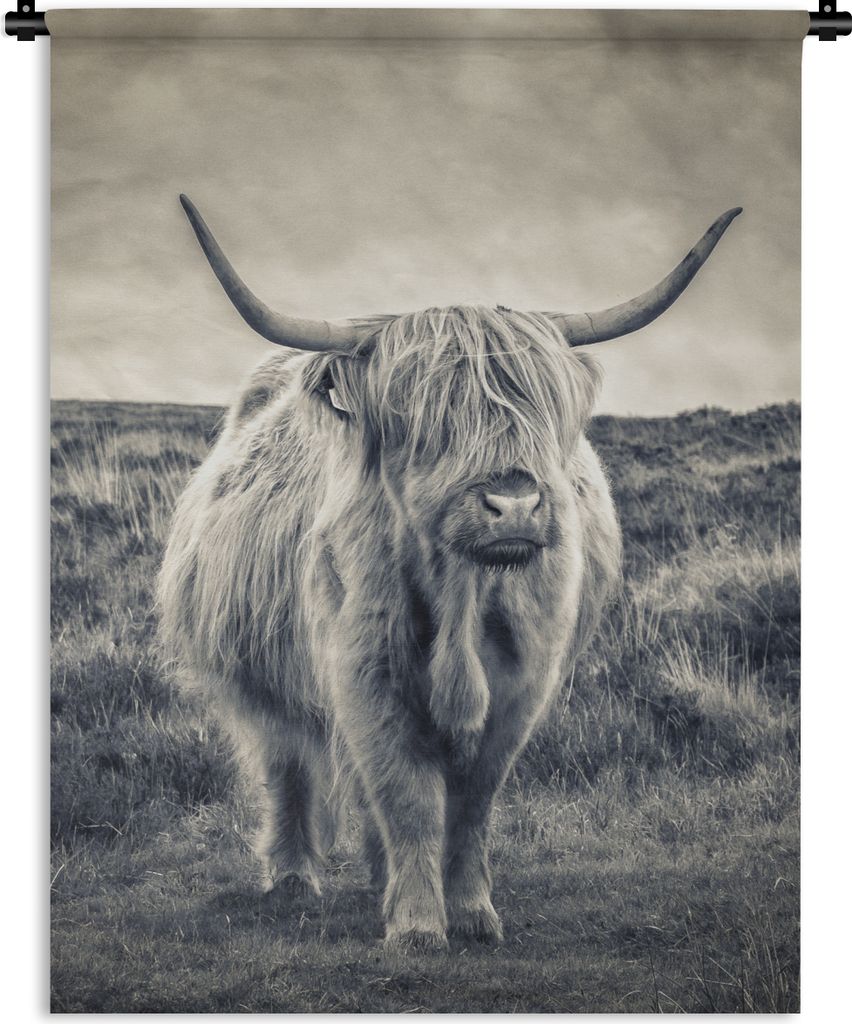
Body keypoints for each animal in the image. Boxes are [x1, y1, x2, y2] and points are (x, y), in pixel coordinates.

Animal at [158, 196, 741, 950]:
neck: (463, 597)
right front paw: (415, 925)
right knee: (288, 763)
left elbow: (470, 803)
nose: (514, 504)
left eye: (542, 410)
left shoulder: (522, 685)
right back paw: (292, 878)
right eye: (422, 418)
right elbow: (405, 795)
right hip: (260, 677)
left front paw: (469, 912)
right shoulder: (365, 673)